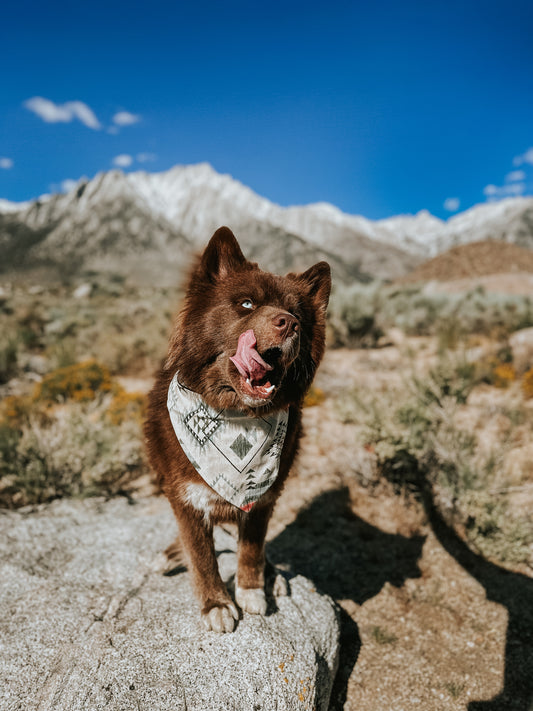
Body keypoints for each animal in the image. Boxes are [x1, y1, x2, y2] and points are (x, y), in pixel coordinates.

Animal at [143, 228, 330, 636]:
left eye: (298, 315)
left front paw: (251, 590)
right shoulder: (187, 500)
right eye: (246, 304)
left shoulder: (264, 498)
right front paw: (216, 604)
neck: (235, 416)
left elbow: (252, 548)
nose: (288, 323)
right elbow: (202, 556)